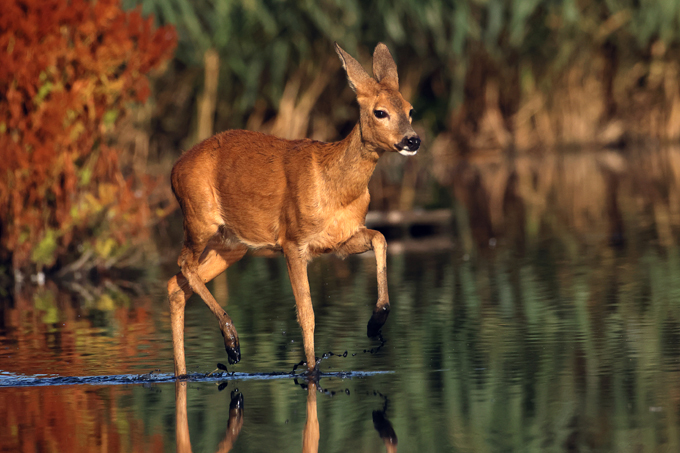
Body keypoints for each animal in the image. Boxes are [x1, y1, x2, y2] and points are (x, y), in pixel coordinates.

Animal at [166, 42, 420, 376]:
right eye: (380, 112)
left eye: (410, 109)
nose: (412, 140)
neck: (335, 186)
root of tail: (173, 170)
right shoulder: (292, 241)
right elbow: (307, 313)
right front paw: (311, 370)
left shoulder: (338, 240)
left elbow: (381, 237)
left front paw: (375, 322)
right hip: (199, 218)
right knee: (184, 264)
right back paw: (232, 343)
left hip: (231, 244)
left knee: (175, 285)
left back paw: (184, 371)